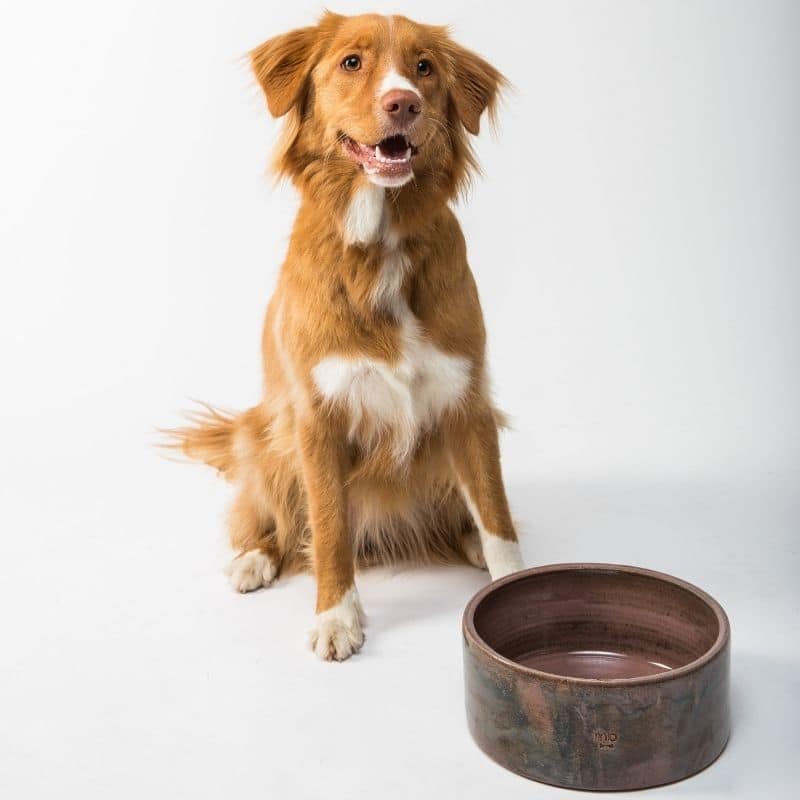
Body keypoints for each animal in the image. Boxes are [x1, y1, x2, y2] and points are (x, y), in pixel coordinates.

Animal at [169, 12, 524, 660]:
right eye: (352, 63)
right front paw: (336, 617)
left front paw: (512, 581)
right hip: (266, 437)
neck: (380, 242)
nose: (402, 103)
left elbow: (496, 514)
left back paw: (464, 542)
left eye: (424, 67)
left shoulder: (467, 402)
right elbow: (330, 528)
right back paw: (253, 559)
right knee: (271, 519)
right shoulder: (318, 418)